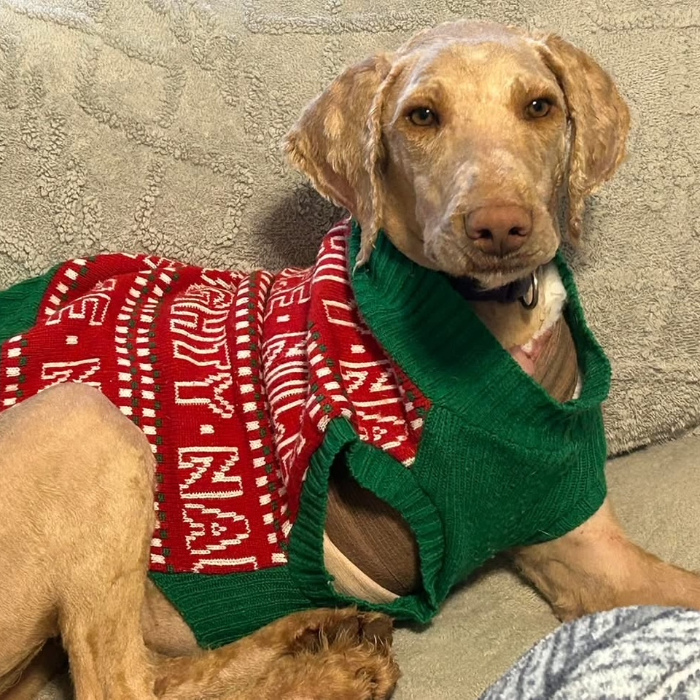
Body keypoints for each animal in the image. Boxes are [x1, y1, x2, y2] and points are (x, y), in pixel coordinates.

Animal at [1, 19, 700, 700]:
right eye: (421, 116)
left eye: (540, 106)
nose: (501, 227)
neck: (491, 326)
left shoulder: (583, 547)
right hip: (82, 411)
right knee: (119, 684)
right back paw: (330, 673)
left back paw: (318, 634)